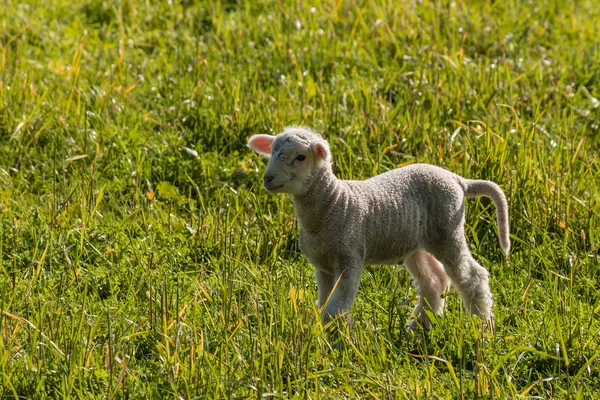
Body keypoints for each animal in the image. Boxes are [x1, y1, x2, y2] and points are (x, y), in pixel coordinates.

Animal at [246, 126, 508, 330]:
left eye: (300, 157)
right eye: (272, 152)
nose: (268, 178)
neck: (334, 203)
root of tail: (457, 179)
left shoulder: (349, 258)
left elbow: (336, 309)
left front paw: (336, 346)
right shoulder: (323, 266)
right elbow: (324, 305)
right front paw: (324, 337)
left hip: (448, 231)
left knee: (473, 277)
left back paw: (481, 328)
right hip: (415, 243)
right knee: (433, 281)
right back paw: (420, 328)